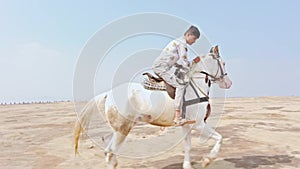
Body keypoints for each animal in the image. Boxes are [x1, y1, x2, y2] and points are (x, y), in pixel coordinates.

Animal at [74, 45, 232, 169]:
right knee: (111, 151)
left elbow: (188, 146)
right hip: (123, 129)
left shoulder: (187, 125)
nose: (228, 83)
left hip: (120, 129)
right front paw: (207, 160)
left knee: (108, 150)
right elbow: (220, 138)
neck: (194, 87)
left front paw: (187, 165)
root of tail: (108, 93)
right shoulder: (199, 124)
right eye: (223, 63)